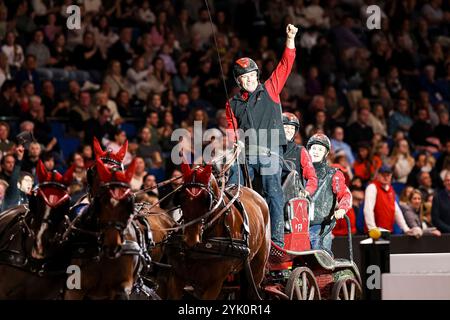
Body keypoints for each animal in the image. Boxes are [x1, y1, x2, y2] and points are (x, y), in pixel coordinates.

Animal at [164, 162, 270, 300]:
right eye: (181, 197)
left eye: (206, 200)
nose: (190, 239)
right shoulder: (176, 278)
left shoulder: (214, 284)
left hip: (256, 272)